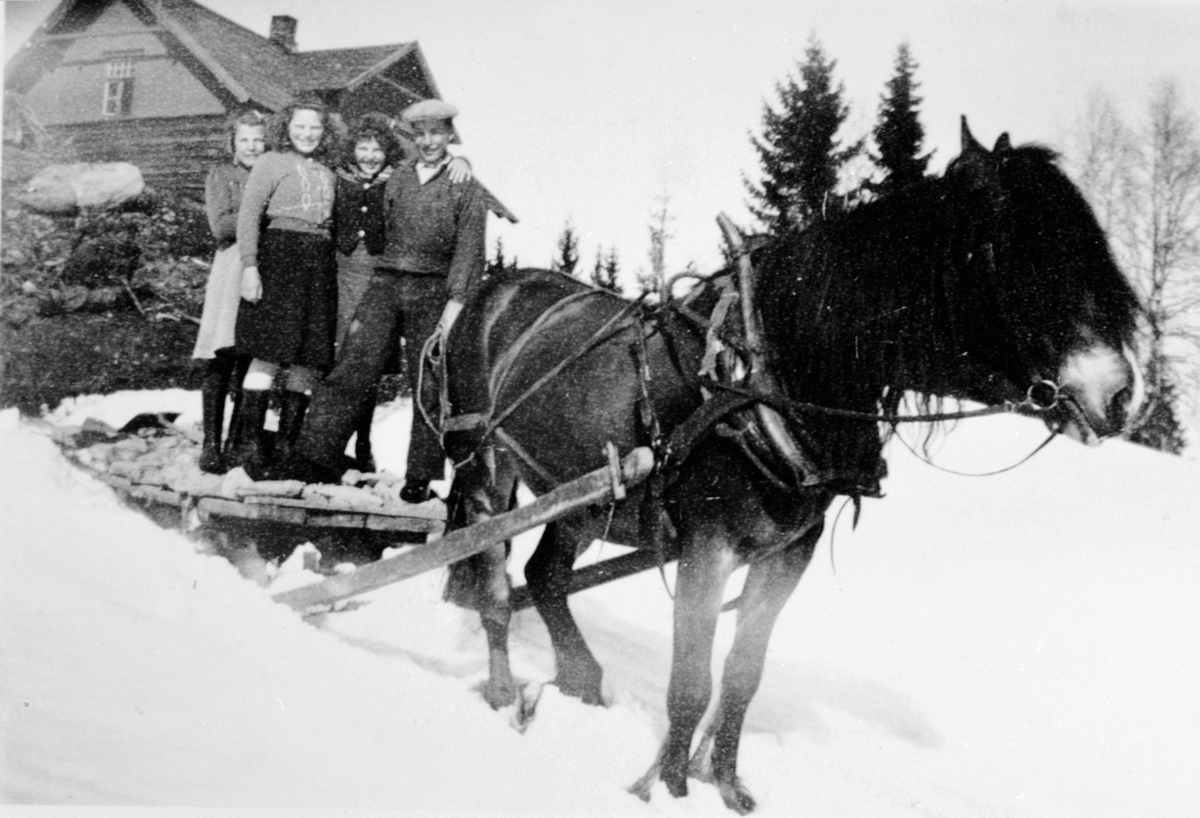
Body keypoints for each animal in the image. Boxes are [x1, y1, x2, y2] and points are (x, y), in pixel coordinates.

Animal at [434, 119, 1142, 810]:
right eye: (1025, 264)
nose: (1120, 395)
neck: (772, 374)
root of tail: (493, 290)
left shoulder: (787, 553)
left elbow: (742, 676)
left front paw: (726, 787)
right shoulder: (707, 547)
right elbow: (691, 683)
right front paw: (669, 789)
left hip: (589, 495)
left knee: (544, 575)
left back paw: (579, 682)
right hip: (485, 464)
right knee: (494, 580)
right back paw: (503, 690)